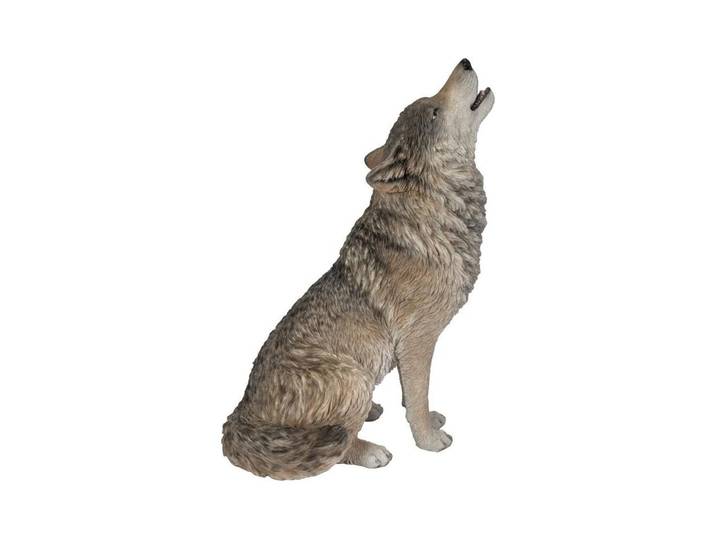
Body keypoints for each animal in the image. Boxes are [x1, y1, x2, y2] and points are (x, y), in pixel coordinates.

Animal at [222, 58, 494, 479]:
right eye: (434, 110)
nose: (464, 61)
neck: (435, 210)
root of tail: (239, 418)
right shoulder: (418, 340)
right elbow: (418, 397)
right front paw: (429, 440)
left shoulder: (406, 350)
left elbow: (412, 395)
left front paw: (428, 419)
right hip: (353, 376)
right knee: (338, 445)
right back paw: (370, 451)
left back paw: (371, 412)